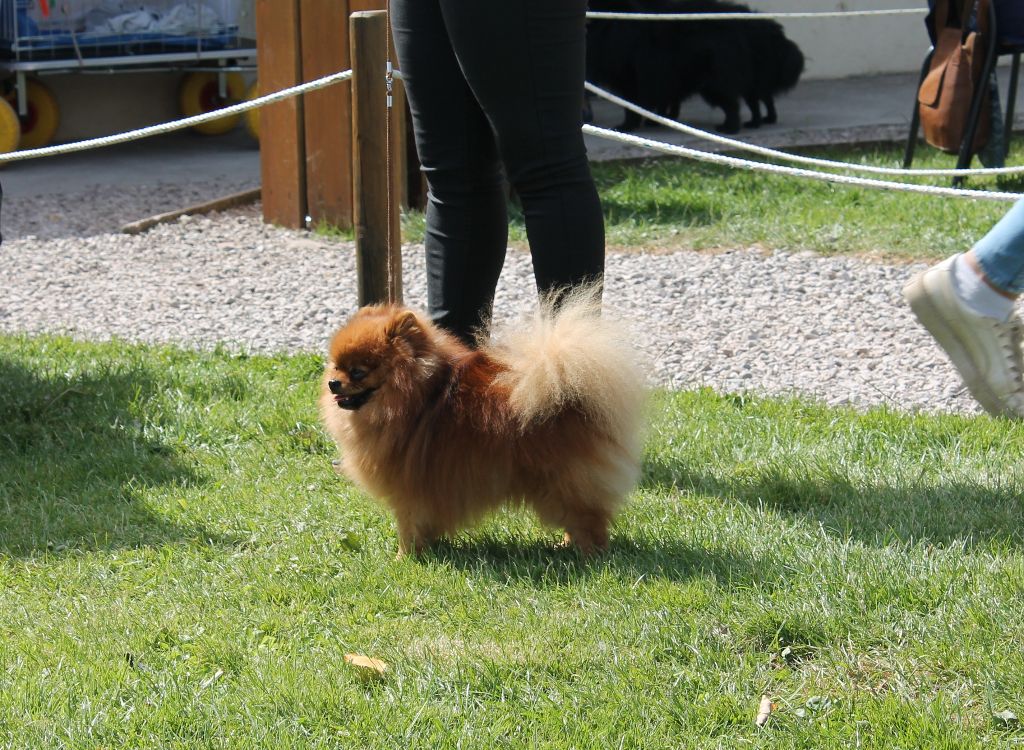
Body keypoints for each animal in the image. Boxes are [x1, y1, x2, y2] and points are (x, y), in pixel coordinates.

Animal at [315, 286, 643, 557]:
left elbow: (408, 526)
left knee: (589, 519)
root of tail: (571, 393)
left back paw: (588, 555)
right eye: (335, 365)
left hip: (561, 482)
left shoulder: (408, 488)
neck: (419, 395)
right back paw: (565, 546)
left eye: (358, 372)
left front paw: (404, 558)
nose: (333, 383)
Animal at [589, 0, 802, 133]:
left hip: (716, 82)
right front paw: (658, 120)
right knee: (755, 100)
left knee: (733, 105)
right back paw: (755, 122)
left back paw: (731, 128)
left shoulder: (632, 80)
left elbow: (631, 107)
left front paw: (626, 126)